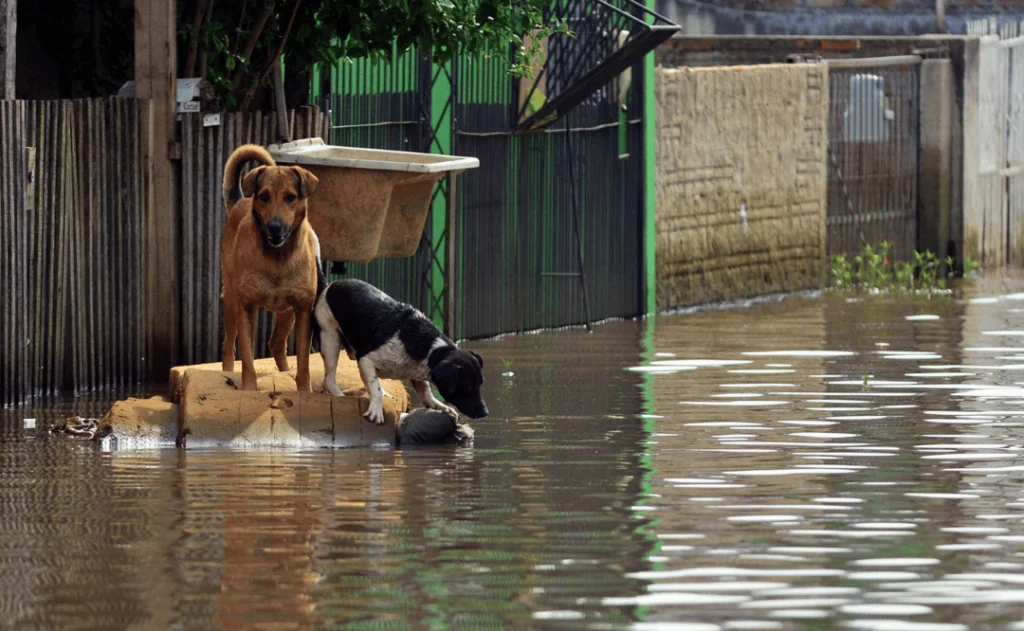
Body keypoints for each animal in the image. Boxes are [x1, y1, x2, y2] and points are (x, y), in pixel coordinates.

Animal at [220, 144, 319, 389]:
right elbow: (247, 359)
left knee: (276, 344)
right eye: (264, 196)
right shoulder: (246, 307)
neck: (278, 258)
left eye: (290, 197)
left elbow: (304, 363)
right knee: (229, 345)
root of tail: (239, 201)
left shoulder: (303, 309)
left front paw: (305, 390)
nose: (274, 227)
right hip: (231, 301)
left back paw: (285, 372)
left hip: (287, 313)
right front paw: (249, 389)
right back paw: (227, 373)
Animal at [311, 276, 487, 424]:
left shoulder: (416, 374)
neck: (427, 348)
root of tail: (330, 285)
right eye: (467, 385)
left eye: (480, 384)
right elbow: (375, 387)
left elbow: (426, 392)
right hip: (330, 339)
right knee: (329, 379)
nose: (485, 413)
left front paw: (440, 406)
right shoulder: (366, 359)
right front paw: (376, 410)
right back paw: (340, 395)